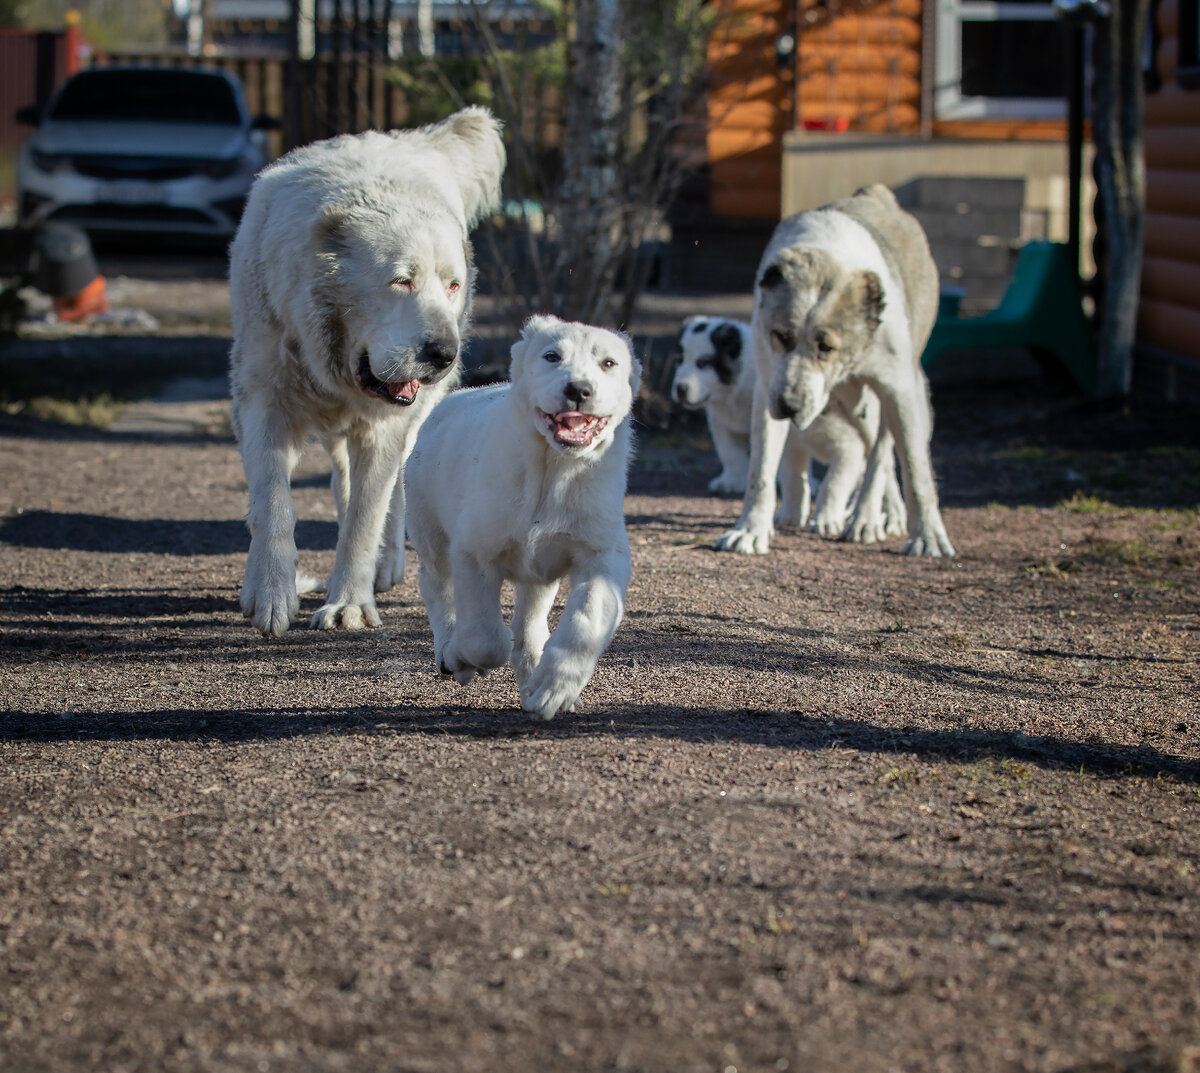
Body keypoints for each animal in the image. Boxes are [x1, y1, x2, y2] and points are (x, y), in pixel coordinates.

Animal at [228, 106, 501, 638]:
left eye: (452, 285)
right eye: (401, 280)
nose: (445, 354)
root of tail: (409, 139)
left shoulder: (383, 428)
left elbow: (365, 520)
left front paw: (348, 604)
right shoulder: (261, 404)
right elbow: (273, 506)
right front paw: (271, 592)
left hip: (412, 420)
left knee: (393, 489)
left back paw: (384, 564)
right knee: (340, 482)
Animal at [405, 316, 638, 720]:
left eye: (608, 363)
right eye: (552, 356)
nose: (578, 389)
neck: (551, 470)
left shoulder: (602, 554)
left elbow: (587, 619)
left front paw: (554, 688)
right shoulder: (474, 552)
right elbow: (484, 638)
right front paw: (463, 657)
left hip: (538, 572)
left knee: (530, 622)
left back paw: (533, 677)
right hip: (429, 530)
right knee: (437, 585)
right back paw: (450, 649)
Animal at [676, 316, 902, 537]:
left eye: (703, 363)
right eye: (679, 361)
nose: (680, 388)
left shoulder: (848, 447)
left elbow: (833, 484)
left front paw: (824, 518)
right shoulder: (730, 426)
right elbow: (738, 457)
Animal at [710, 184, 955, 559]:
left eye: (826, 347)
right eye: (781, 336)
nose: (789, 406)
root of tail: (877, 193)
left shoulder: (899, 392)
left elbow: (915, 470)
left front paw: (927, 537)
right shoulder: (768, 386)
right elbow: (761, 473)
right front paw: (750, 531)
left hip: (892, 399)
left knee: (882, 457)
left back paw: (867, 519)